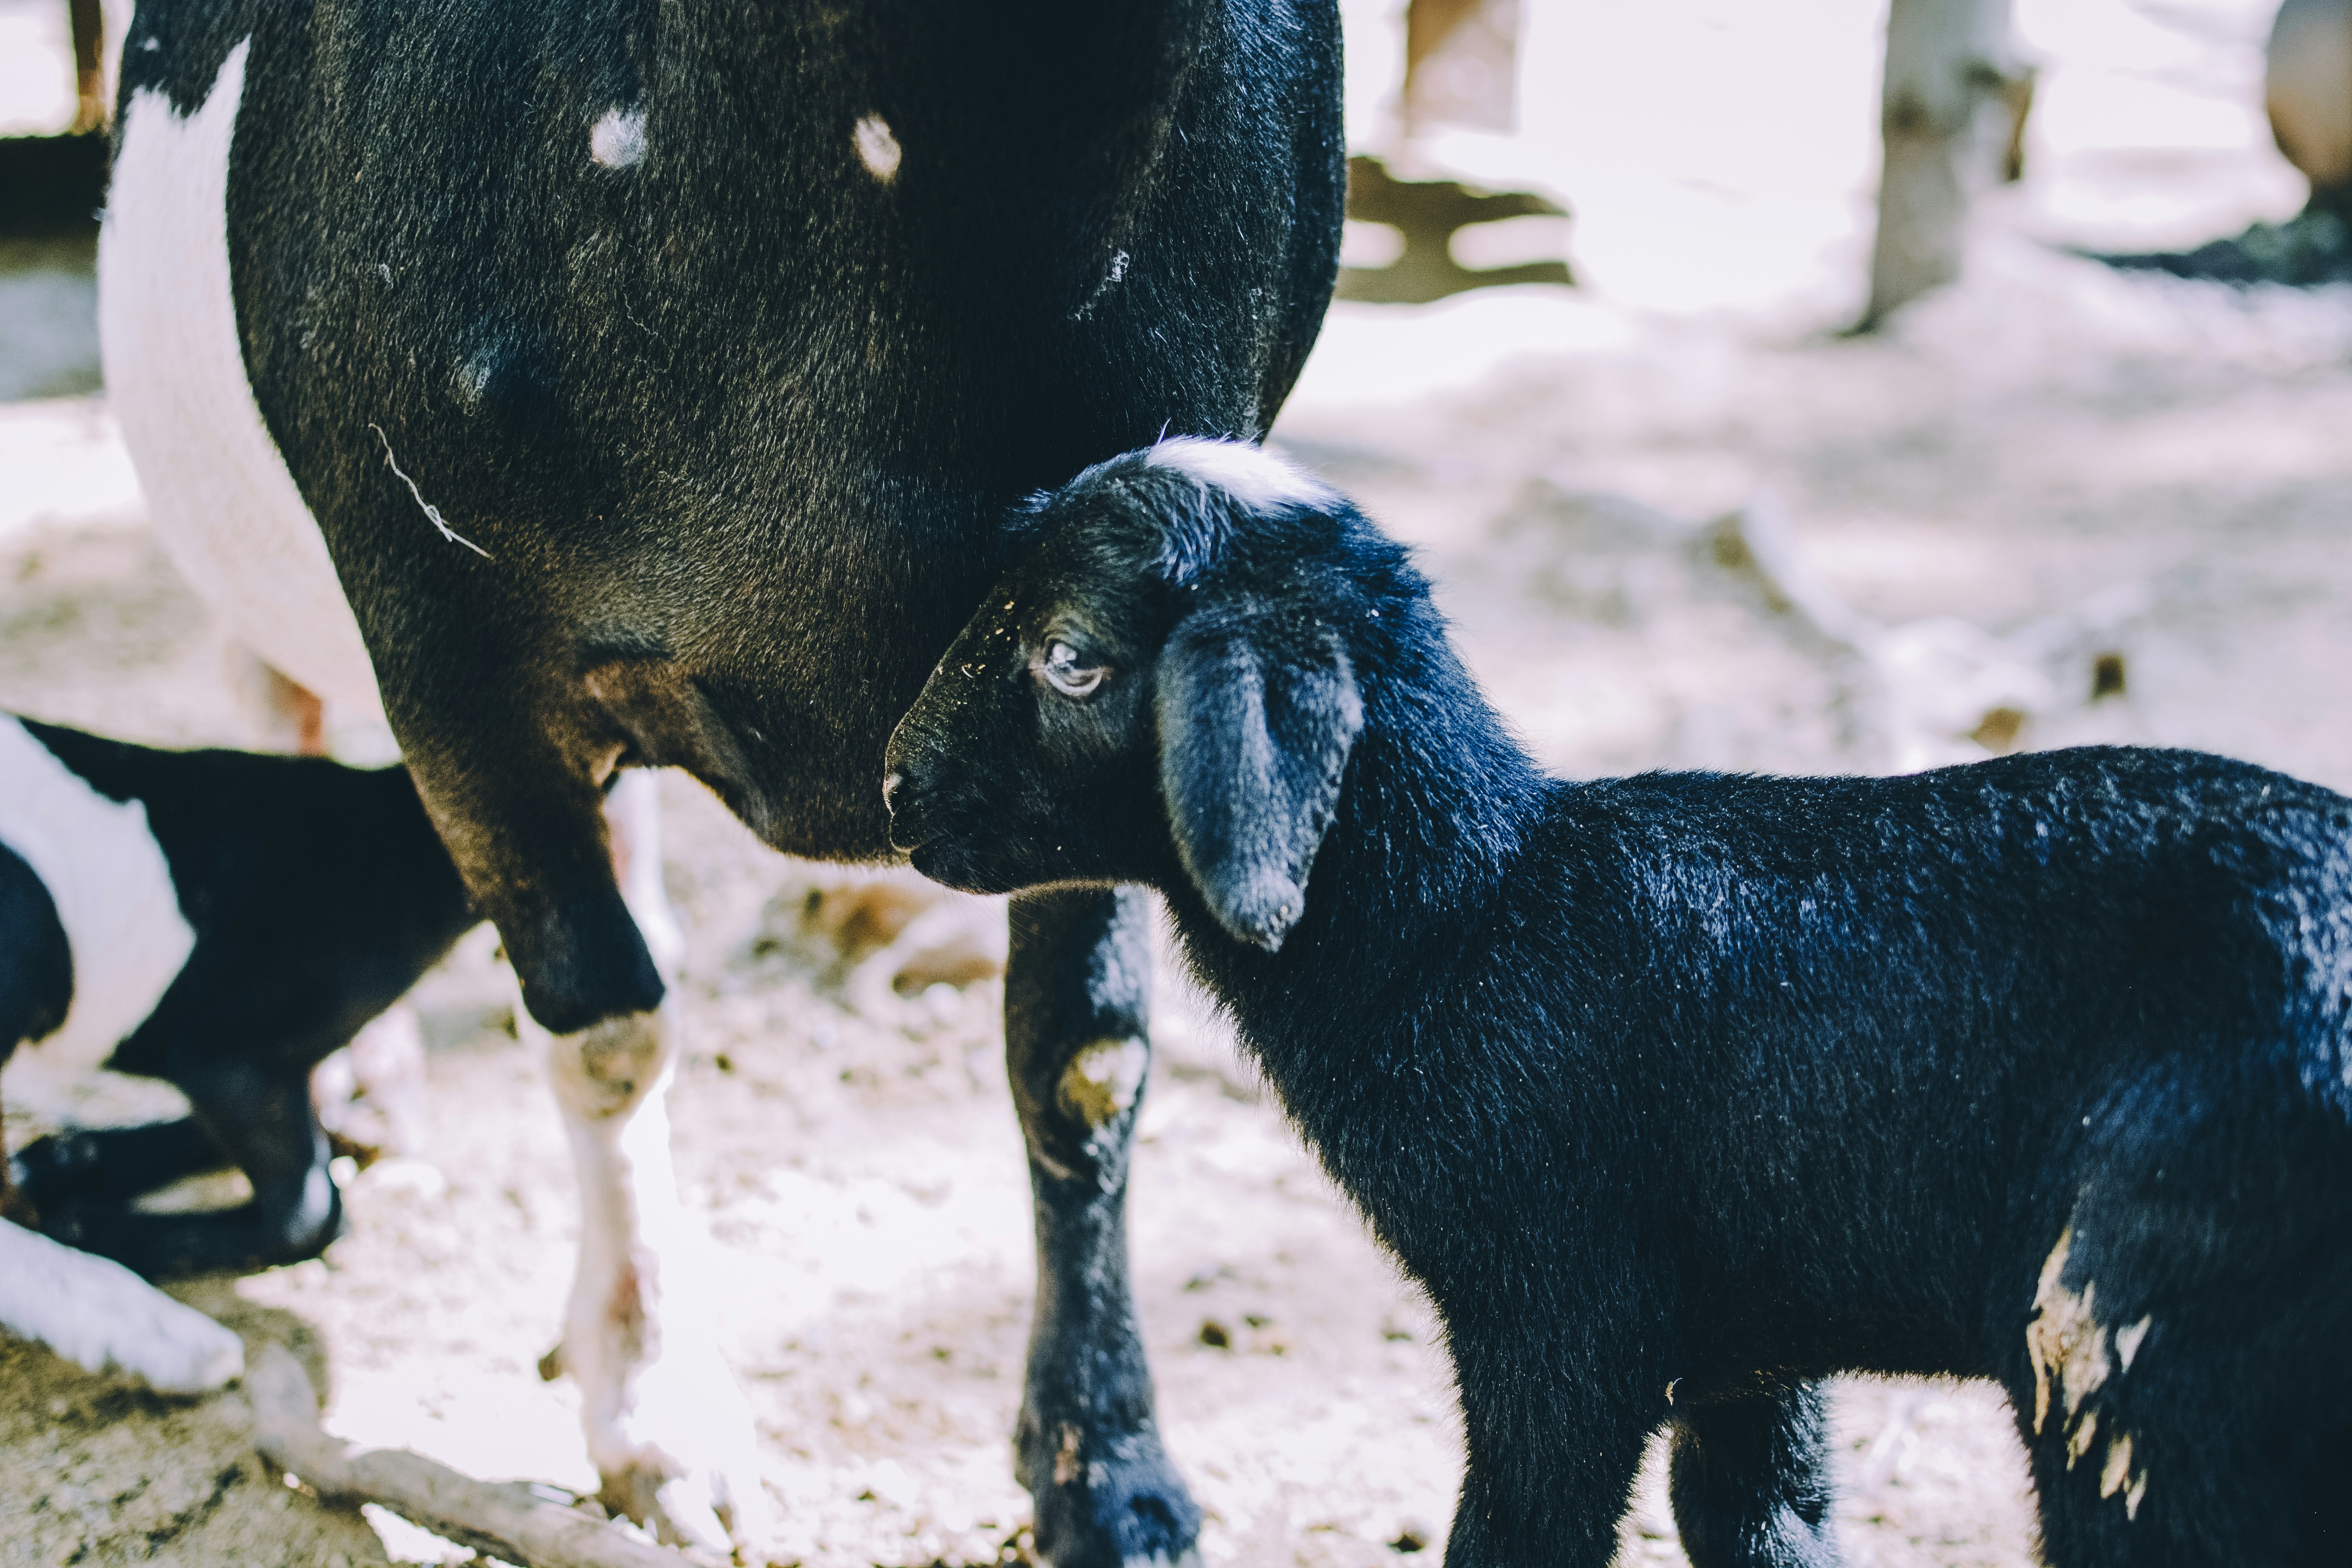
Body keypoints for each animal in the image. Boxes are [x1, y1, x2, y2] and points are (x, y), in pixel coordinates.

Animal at [882, 440, 2352, 1568]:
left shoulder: (1562, 1321)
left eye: (1068, 655)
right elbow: (1766, 1527)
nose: (894, 785)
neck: (1467, 918)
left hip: (2134, 1369)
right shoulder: (1747, 1342)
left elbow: (1515, 1541)